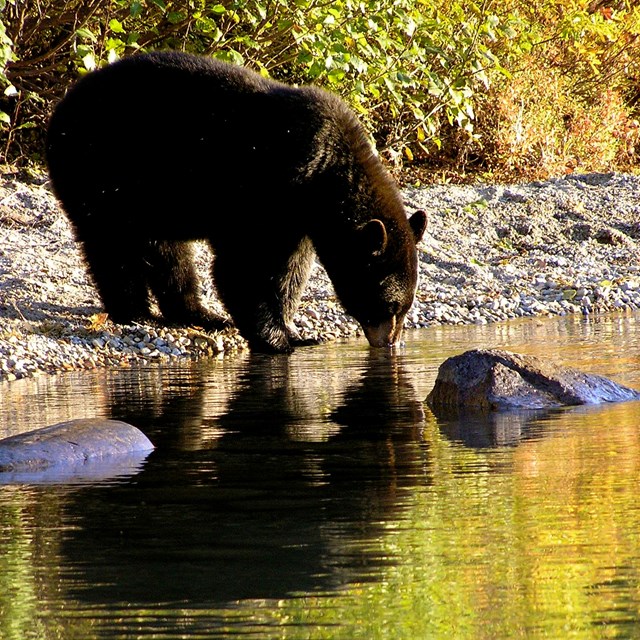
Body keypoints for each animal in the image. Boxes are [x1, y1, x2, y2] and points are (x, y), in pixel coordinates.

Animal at [45, 50, 424, 352]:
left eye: (405, 307)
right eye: (390, 306)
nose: (391, 343)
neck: (325, 173)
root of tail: (62, 106)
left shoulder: (298, 216)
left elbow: (290, 270)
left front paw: (294, 330)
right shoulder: (266, 184)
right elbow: (241, 263)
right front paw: (276, 338)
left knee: (166, 251)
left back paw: (200, 314)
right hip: (100, 170)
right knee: (111, 245)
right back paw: (135, 312)